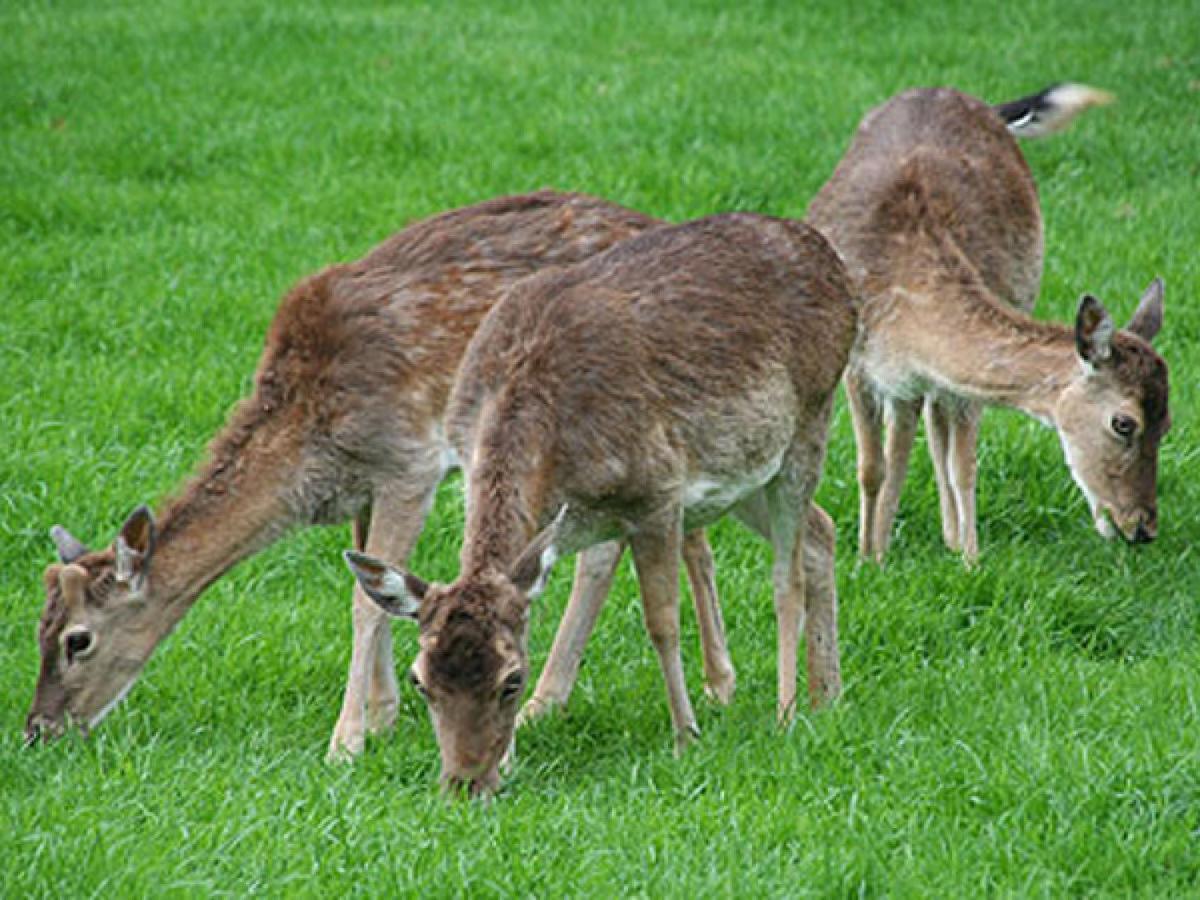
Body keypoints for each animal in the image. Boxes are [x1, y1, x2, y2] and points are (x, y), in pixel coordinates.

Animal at [25, 190, 739, 763]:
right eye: (36, 628)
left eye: (78, 640)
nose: (38, 730)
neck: (310, 440)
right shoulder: (361, 489)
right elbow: (375, 585)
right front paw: (387, 717)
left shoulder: (407, 461)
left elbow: (364, 604)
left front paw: (345, 743)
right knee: (683, 531)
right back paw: (708, 681)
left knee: (613, 547)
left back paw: (571, 697)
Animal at [343, 214, 859, 801]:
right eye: (421, 680)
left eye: (510, 681)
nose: (465, 784)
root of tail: (829, 258)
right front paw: (512, 758)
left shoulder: (658, 491)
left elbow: (662, 622)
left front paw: (685, 738)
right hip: (746, 476)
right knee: (821, 531)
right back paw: (829, 696)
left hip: (811, 421)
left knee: (786, 575)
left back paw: (787, 710)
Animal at [801, 84, 1166, 564]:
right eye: (1124, 423)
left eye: (1168, 424)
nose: (1142, 527)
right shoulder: (859, 367)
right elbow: (873, 467)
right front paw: (868, 557)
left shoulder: (940, 382)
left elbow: (960, 464)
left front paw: (969, 560)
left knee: (936, 429)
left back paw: (950, 537)